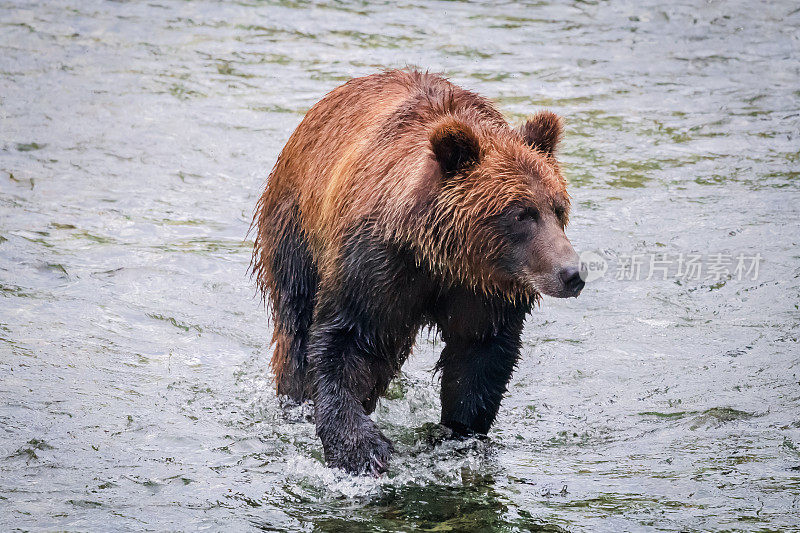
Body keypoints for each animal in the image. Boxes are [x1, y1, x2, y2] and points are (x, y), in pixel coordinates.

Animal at [253, 67, 584, 474]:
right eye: (521, 214)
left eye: (558, 207)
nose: (571, 273)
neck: (442, 257)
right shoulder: (374, 265)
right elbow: (344, 341)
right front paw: (362, 449)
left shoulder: (484, 291)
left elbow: (479, 358)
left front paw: (457, 434)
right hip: (295, 228)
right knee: (296, 326)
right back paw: (295, 401)